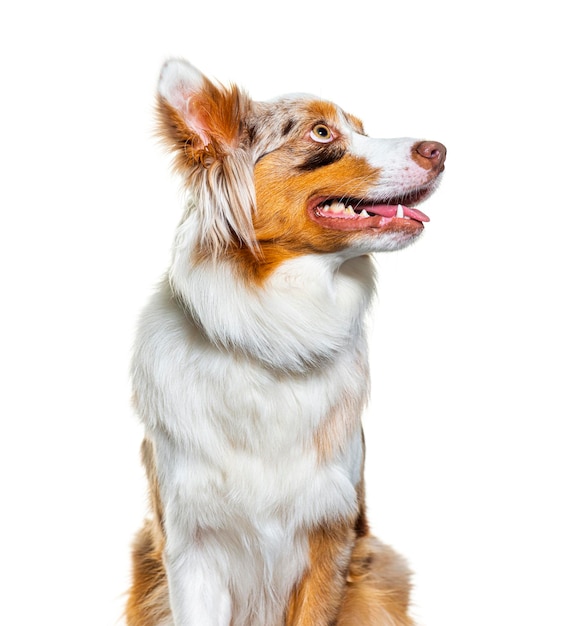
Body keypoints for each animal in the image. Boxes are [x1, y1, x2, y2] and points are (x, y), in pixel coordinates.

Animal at [126, 59, 448, 624]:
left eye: (361, 128)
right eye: (321, 133)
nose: (441, 149)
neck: (276, 332)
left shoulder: (330, 532)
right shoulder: (191, 545)